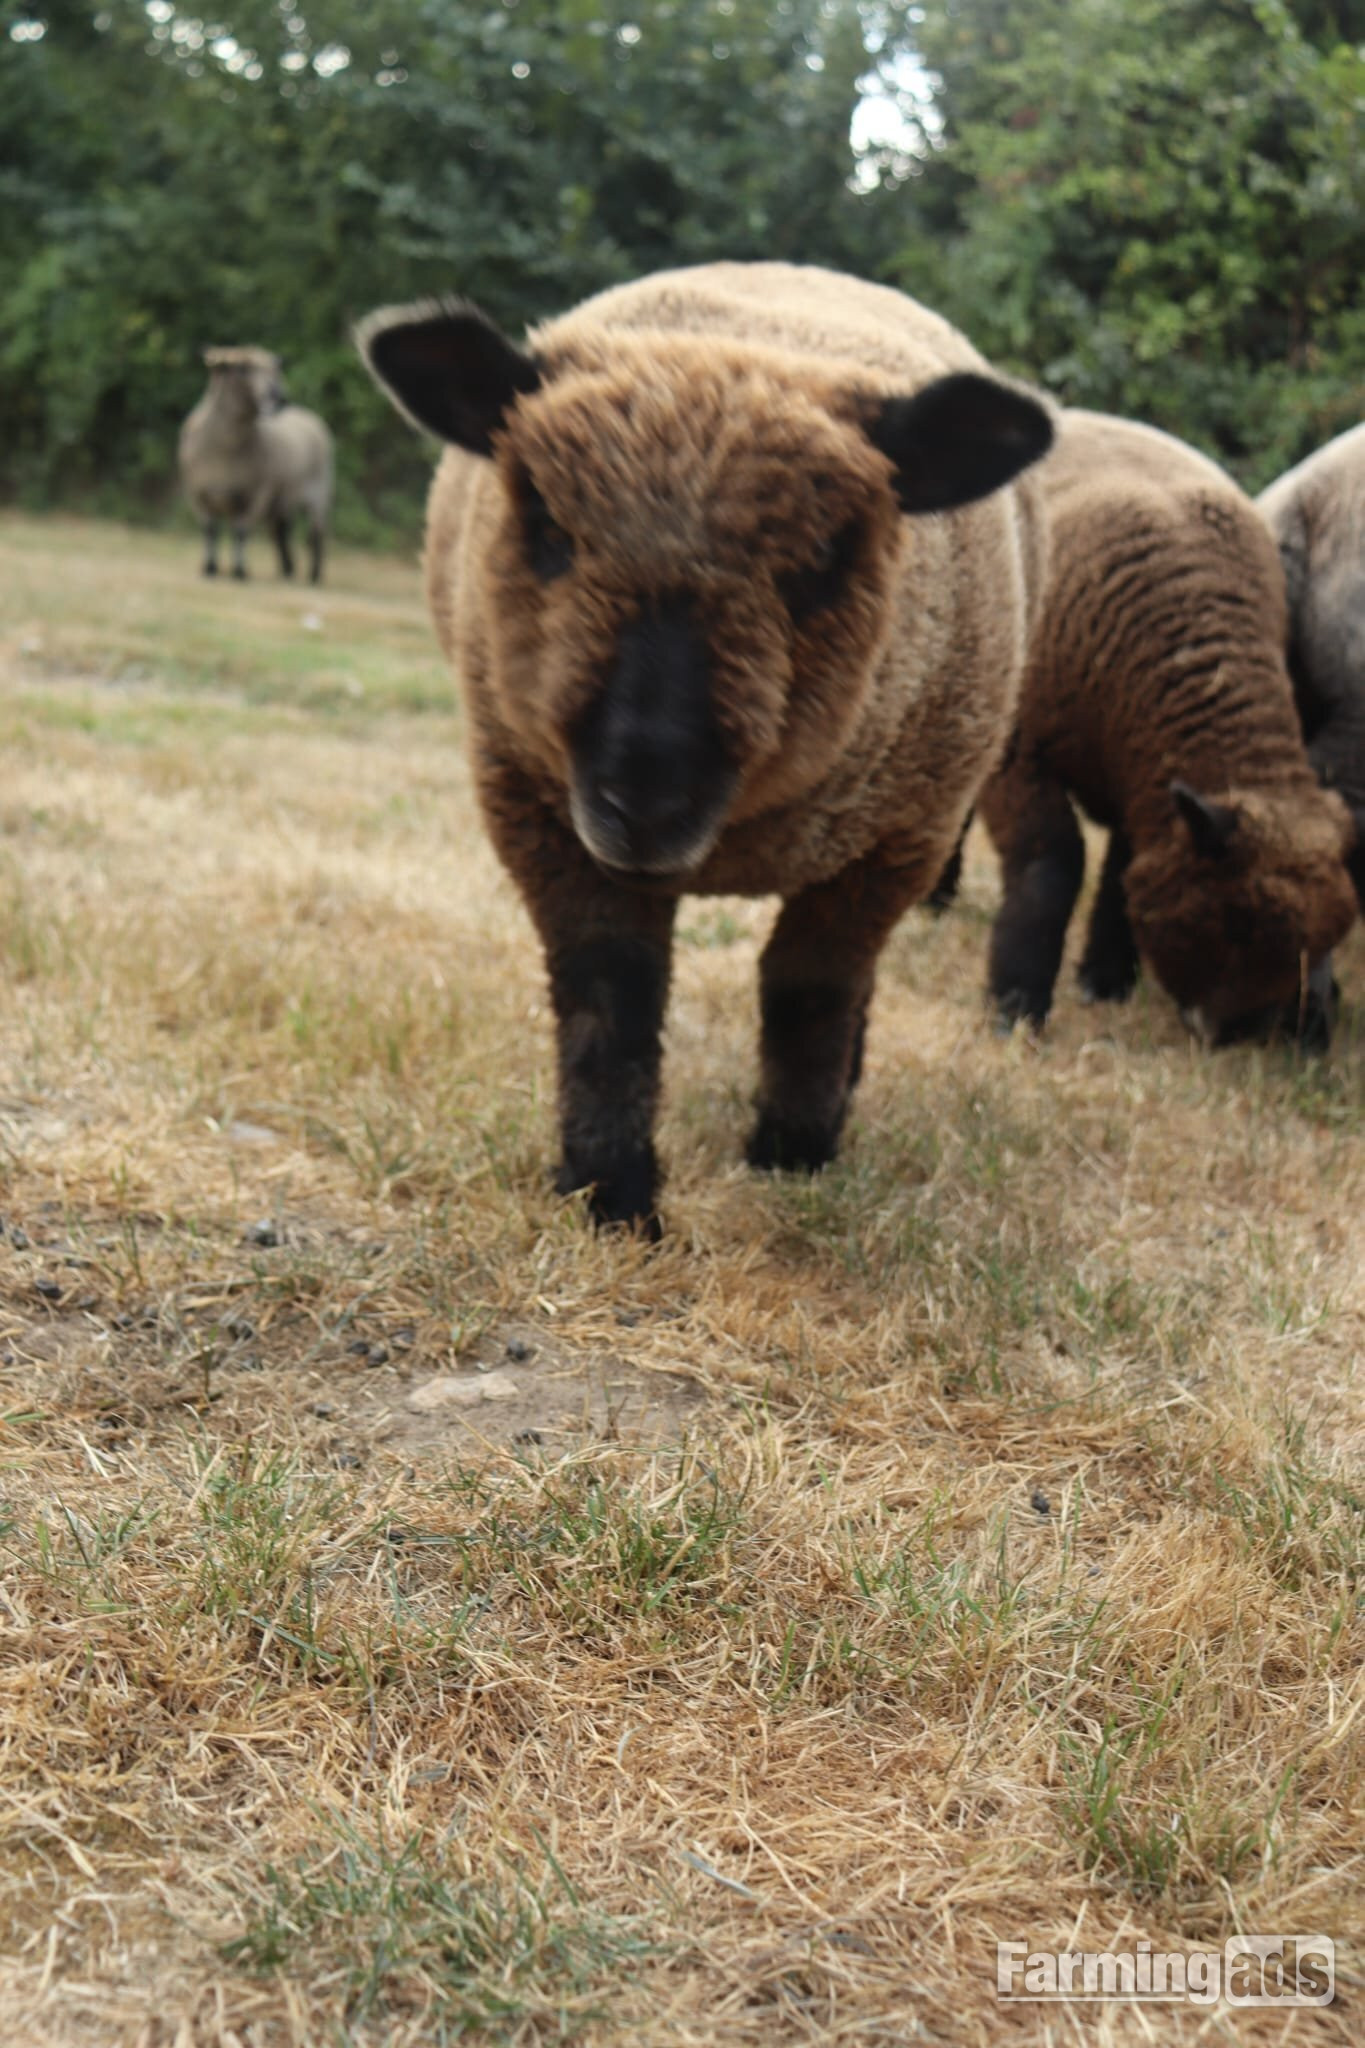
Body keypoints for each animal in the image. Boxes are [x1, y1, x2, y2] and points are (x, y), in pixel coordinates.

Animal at [178, 347, 334, 583]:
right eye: (242, 368)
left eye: (275, 368)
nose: (279, 396)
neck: (225, 449)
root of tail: (307, 414)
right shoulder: (198, 495)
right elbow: (210, 530)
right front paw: (210, 568)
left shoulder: (256, 495)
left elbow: (240, 532)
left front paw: (239, 571)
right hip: (282, 500)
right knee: (281, 531)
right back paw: (287, 570)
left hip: (318, 494)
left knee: (316, 533)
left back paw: (314, 576)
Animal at [356, 261, 1054, 1232]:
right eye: (549, 530)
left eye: (822, 560)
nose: (644, 800)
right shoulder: (540, 816)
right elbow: (610, 995)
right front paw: (608, 1193)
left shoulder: (893, 843)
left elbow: (810, 992)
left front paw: (792, 1155)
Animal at [970, 408, 1357, 1047]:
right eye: (1236, 924)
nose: (1233, 1037)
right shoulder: (1020, 755)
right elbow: (1053, 863)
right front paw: (1016, 1007)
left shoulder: (1149, 784)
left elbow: (1124, 874)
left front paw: (1104, 979)